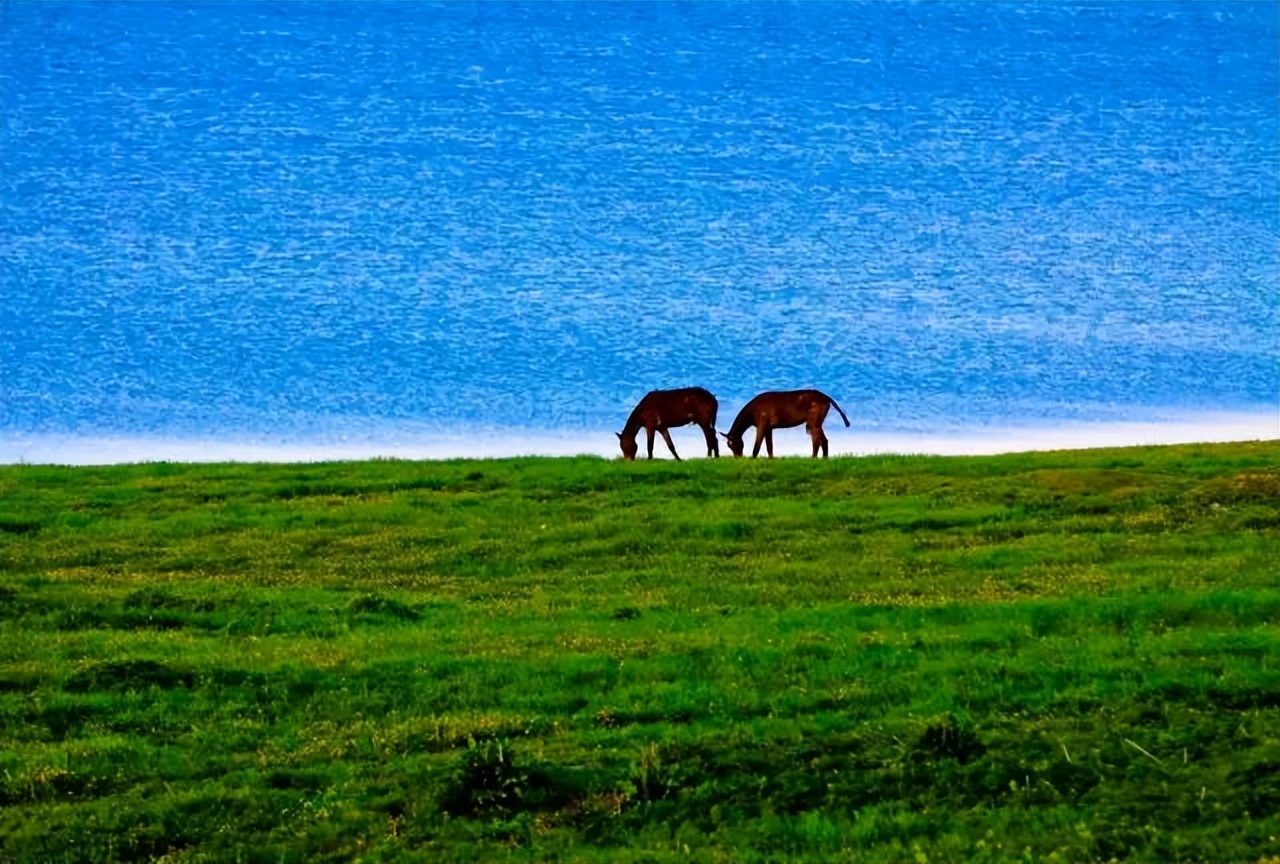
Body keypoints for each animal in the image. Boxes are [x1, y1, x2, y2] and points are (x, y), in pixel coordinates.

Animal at [721, 389, 849, 460]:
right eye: (729, 446)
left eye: (733, 444)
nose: (737, 458)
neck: (753, 410)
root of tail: (827, 398)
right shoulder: (769, 428)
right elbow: (769, 446)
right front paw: (771, 459)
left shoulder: (762, 425)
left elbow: (757, 446)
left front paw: (753, 459)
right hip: (817, 422)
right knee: (824, 440)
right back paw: (824, 459)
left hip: (813, 422)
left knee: (816, 440)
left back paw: (813, 457)